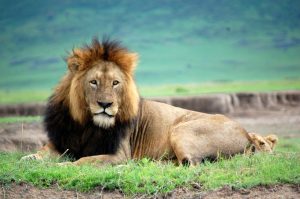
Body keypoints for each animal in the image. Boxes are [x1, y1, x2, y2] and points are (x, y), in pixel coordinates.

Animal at [21, 38, 276, 166]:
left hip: (181, 130)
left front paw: (63, 166)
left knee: (191, 164)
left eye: (115, 83)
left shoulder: (118, 154)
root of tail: (246, 133)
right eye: (93, 82)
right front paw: (29, 158)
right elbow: (43, 152)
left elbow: (83, 161)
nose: (105, 104)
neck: (87, 123)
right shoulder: (62, 142)